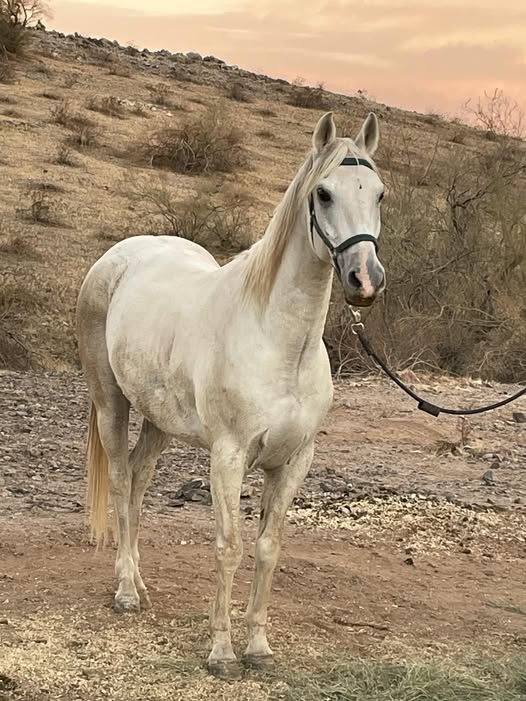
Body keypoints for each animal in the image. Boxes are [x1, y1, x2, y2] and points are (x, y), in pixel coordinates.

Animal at [75, 113, 388, 680]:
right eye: (324, 193)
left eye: (380, 193)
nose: (364, 279)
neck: (278, 340)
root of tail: (120, 255)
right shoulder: (229, 456)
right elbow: (228, 547)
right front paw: (221, 653)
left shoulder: (294, 460)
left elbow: (267, 548)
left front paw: (258, 647)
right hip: (112, 405)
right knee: (122, 483)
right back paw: (126, 591)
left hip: (160, 421)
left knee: (138, 481)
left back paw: (140, 584)